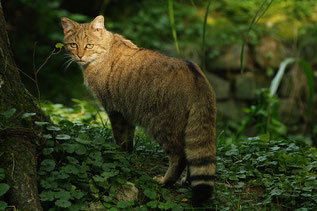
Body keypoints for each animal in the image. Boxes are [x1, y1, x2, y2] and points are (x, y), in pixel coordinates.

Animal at [60, 15, 216, 206]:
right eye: (73, 44)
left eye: (89, 45)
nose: (80, 55)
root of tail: (197, 76)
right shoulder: (128, 113)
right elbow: (129, 141)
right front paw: (127, 157)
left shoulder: (114, 110)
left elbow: (120, 140)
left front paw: (119, 156)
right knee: (190, 154)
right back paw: (186, 180)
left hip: (160, 125)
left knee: (179, 156)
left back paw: (166, 181)